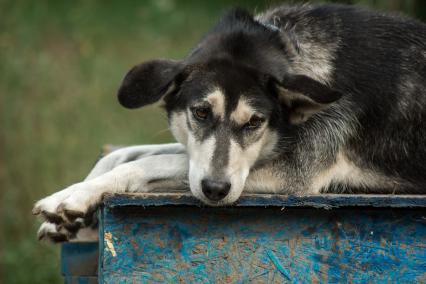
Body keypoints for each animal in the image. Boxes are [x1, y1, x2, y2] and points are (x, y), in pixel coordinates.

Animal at [34, 3, 426, 241]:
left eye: (255, 122)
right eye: (201, 112)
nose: (216, 190)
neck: (291, 49)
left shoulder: (289, 175)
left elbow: (150, 161)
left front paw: (76, 198)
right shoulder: (197, 156)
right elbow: (123, 153)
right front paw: (69, 210)